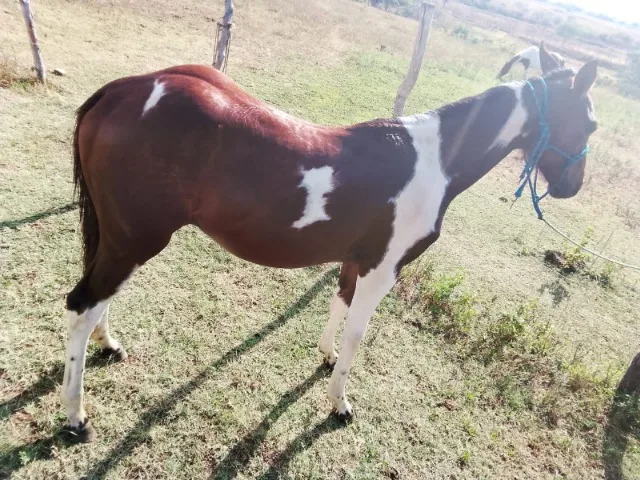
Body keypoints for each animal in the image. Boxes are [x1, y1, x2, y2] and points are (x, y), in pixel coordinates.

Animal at [61, 43, 600, 440]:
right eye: (591, 122)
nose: (572, 186)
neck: (435, 159)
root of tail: (121, 91)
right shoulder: (384, 270)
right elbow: (358, 333)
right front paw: (340, 404)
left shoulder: (355, 261)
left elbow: (339, 303)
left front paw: (325, 358)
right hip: (136, 238)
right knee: (82, 305)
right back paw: (76, 416)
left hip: (120, 237)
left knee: (100, 298)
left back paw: (110, 346)